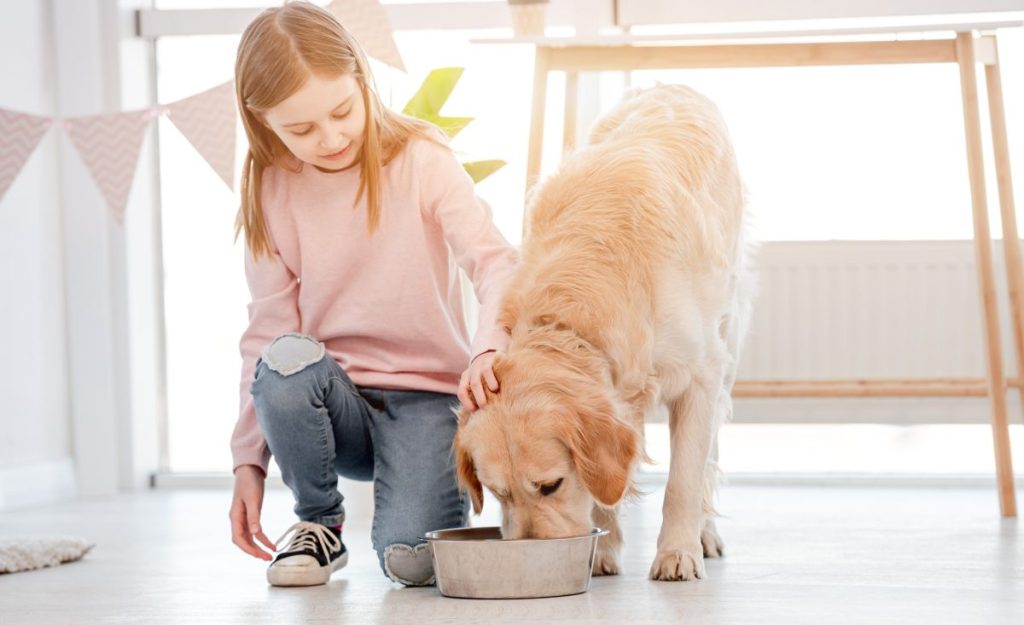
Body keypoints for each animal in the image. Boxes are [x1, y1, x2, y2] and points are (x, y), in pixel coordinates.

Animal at [452, 84, 757, 577]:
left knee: (710, 452)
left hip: (728, 332)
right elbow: (605, 482)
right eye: (498, 493)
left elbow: (685, 479)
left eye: (551, 485)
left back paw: (705, 534)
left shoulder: (700, 375)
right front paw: (604, 548)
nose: (533, 556)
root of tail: (674, 85)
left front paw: (677, 553)